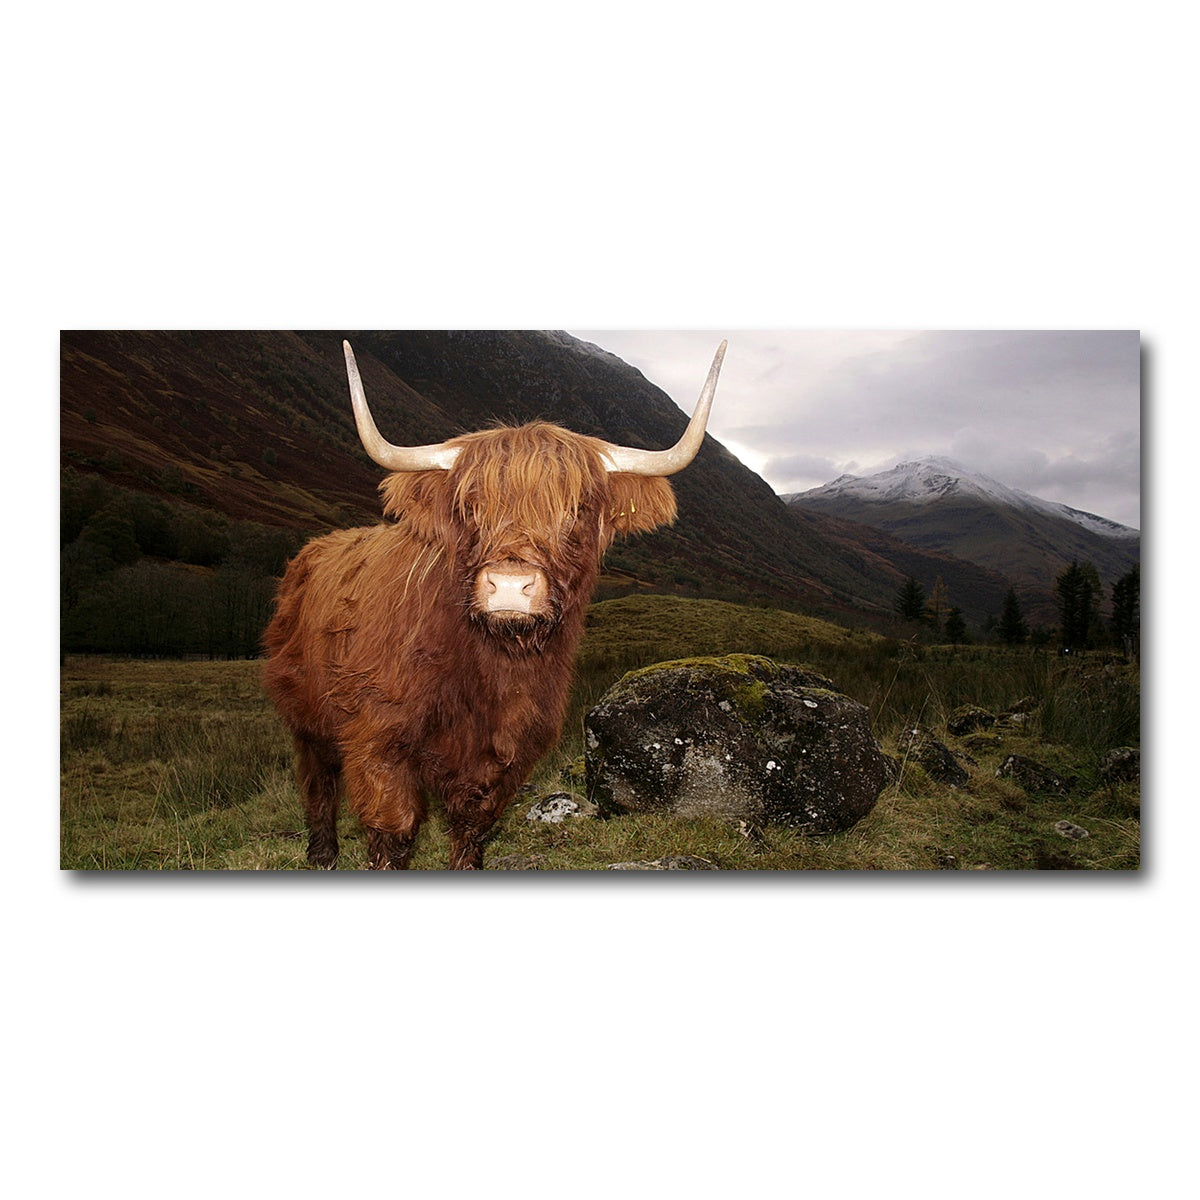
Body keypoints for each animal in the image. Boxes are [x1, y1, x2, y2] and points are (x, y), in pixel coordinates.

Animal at [262, 338, 726, 869]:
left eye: (576, 510)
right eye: (470, 507)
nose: (508, 585)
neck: (491, 668)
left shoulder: (508, 752)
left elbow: (472, 826)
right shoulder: (376, 739)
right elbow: (393, 831)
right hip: (305, 713)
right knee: (317, 780)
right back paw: (322, 853)